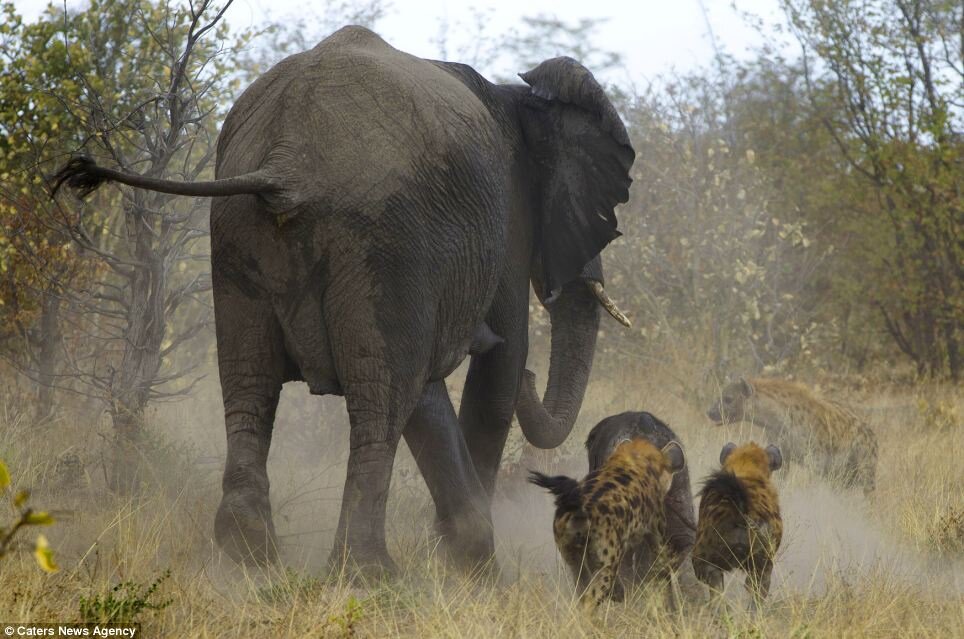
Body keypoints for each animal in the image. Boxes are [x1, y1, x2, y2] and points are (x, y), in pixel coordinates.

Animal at [56, 25, 636, 576]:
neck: (519, 97)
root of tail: (286, 159)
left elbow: (429, 391)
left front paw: (463, 556)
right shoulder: (506, 222)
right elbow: (498, 369)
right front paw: (473, 568)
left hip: (240, 232)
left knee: (252, 384)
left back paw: (251, 554)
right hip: (382, 236)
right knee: (380, 400)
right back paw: (369, 572)